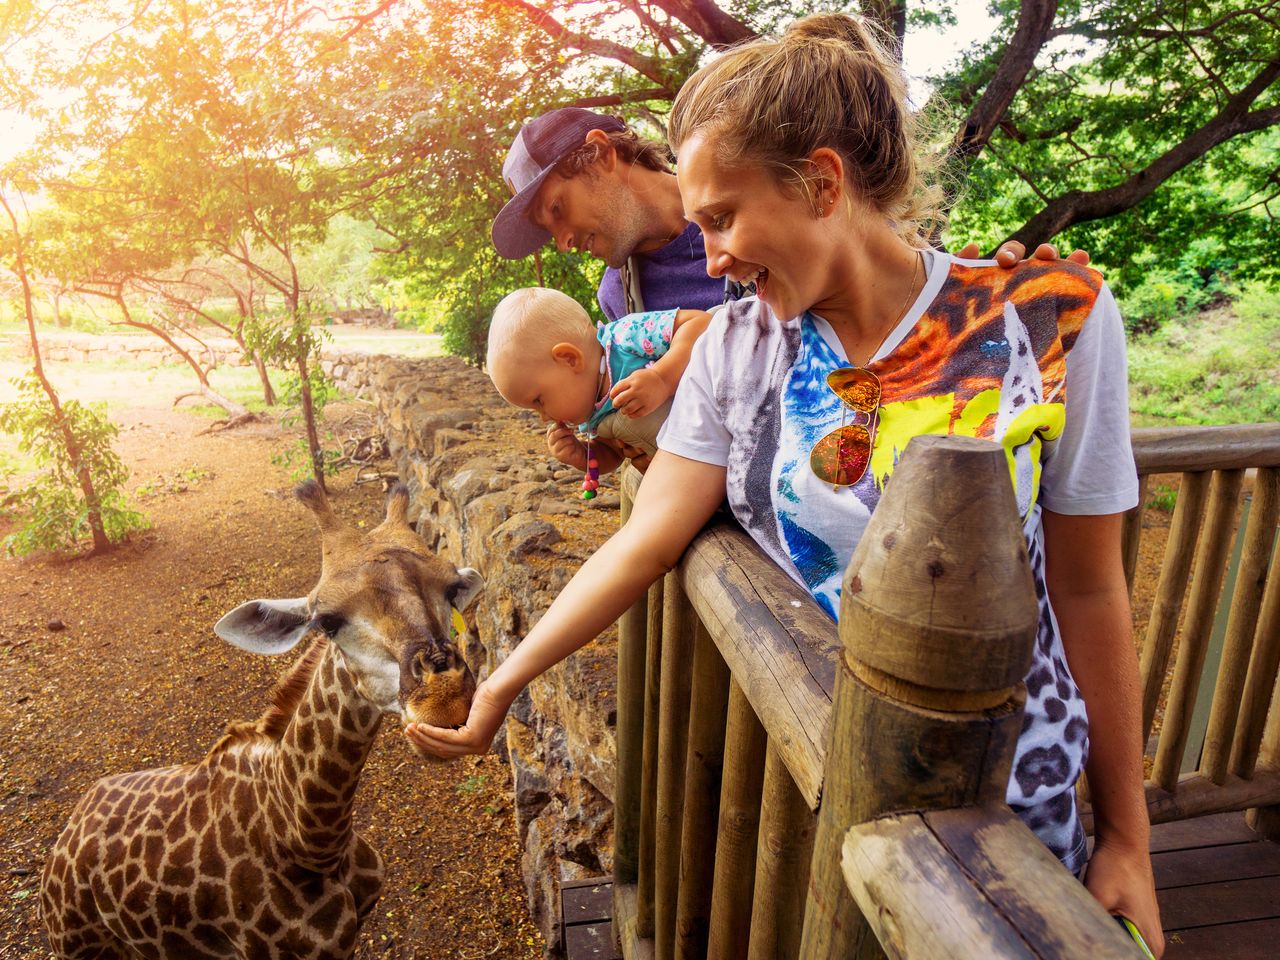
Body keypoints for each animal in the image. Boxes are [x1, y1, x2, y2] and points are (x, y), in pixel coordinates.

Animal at [37, 481, 483, 960]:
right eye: (327, 622)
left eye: (452, 590)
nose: (445, 701)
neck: (310, 841)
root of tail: (63, 840)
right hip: (79, 946)